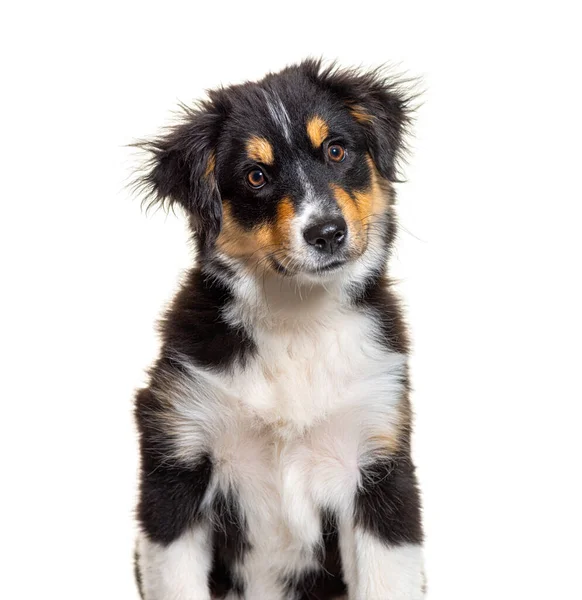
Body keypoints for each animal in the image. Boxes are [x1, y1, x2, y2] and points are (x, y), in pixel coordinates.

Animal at [135, 57, 426, 600]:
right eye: (256, 176)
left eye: (336, 150)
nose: (327, 233)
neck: (298, 318)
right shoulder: (176, 464)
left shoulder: (380, 465)